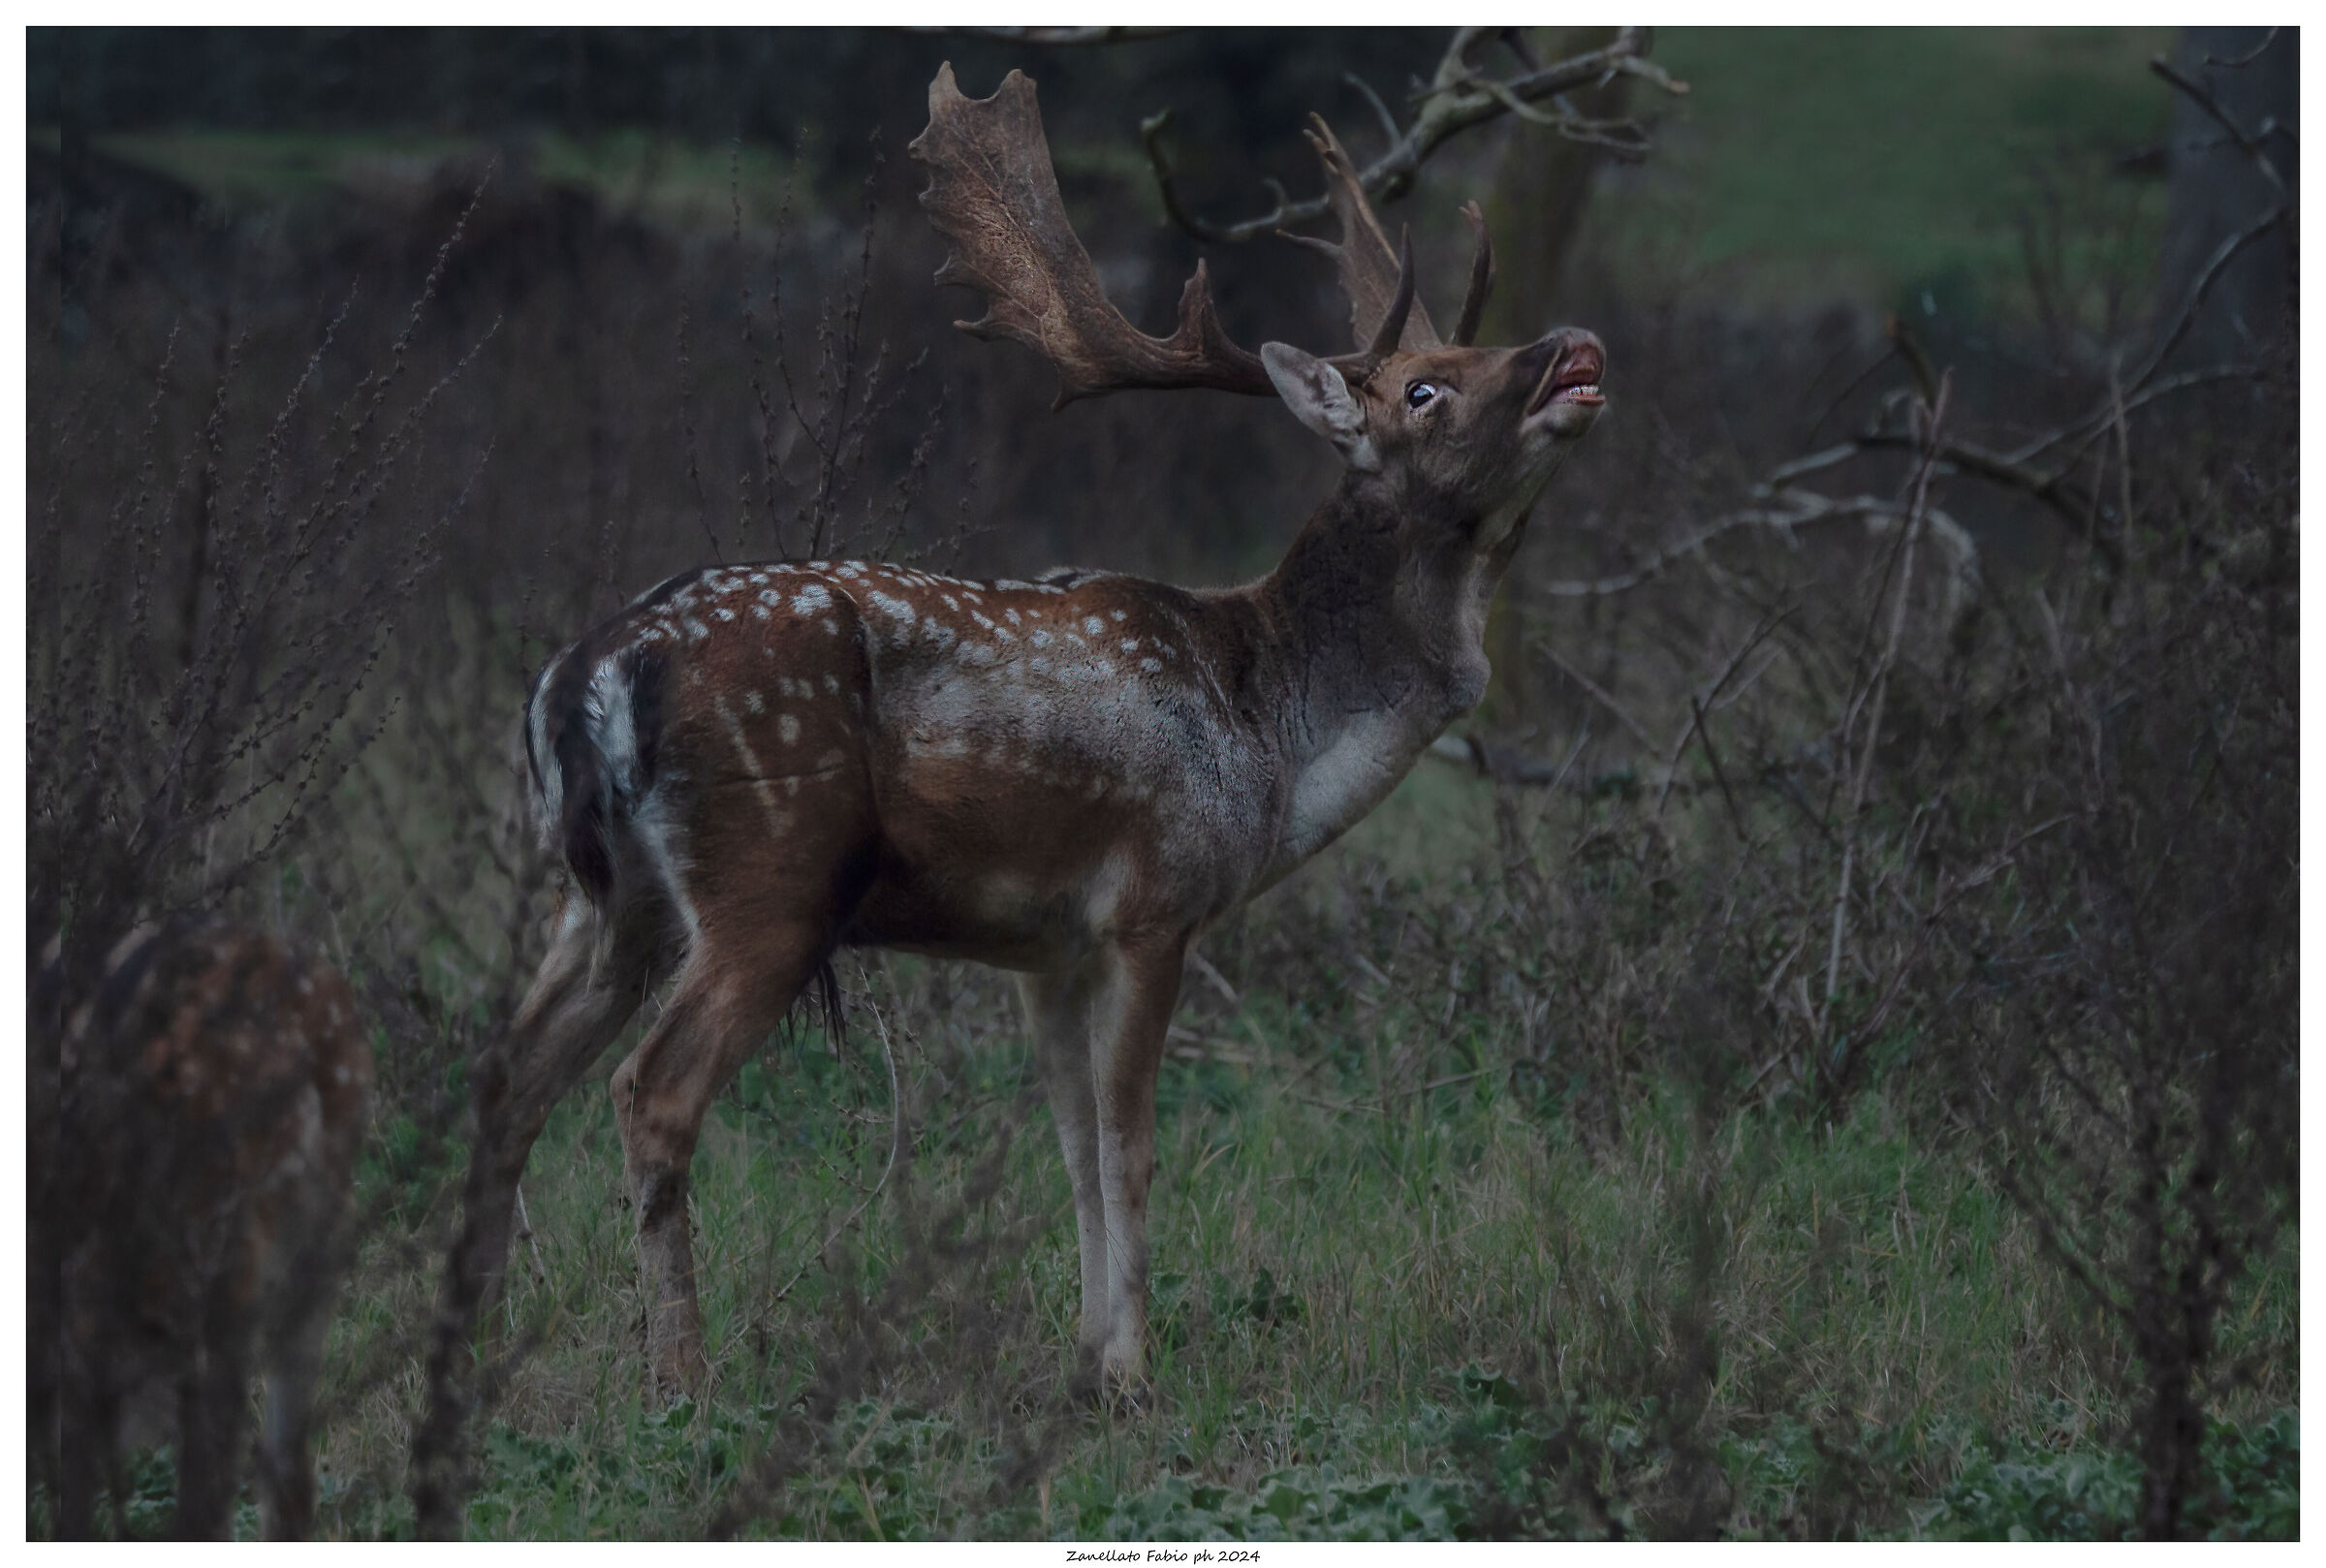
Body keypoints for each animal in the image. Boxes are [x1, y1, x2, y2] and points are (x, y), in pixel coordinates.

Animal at [447, 62, 1606, 1408]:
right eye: (1426, 388)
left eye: (1468, 352)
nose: (1572, 346)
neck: (1268, 725)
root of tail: (581, 674)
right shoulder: (1152, 903)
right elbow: (1130, 1144)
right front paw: (1136, 1376)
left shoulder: (1044, 949)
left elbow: (1070, 1150)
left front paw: (1089, 1355)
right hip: (769, 879)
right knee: (650, 1089)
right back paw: (681, 1377)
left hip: (609, 898)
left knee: (508, 1075)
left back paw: (468, 1348)